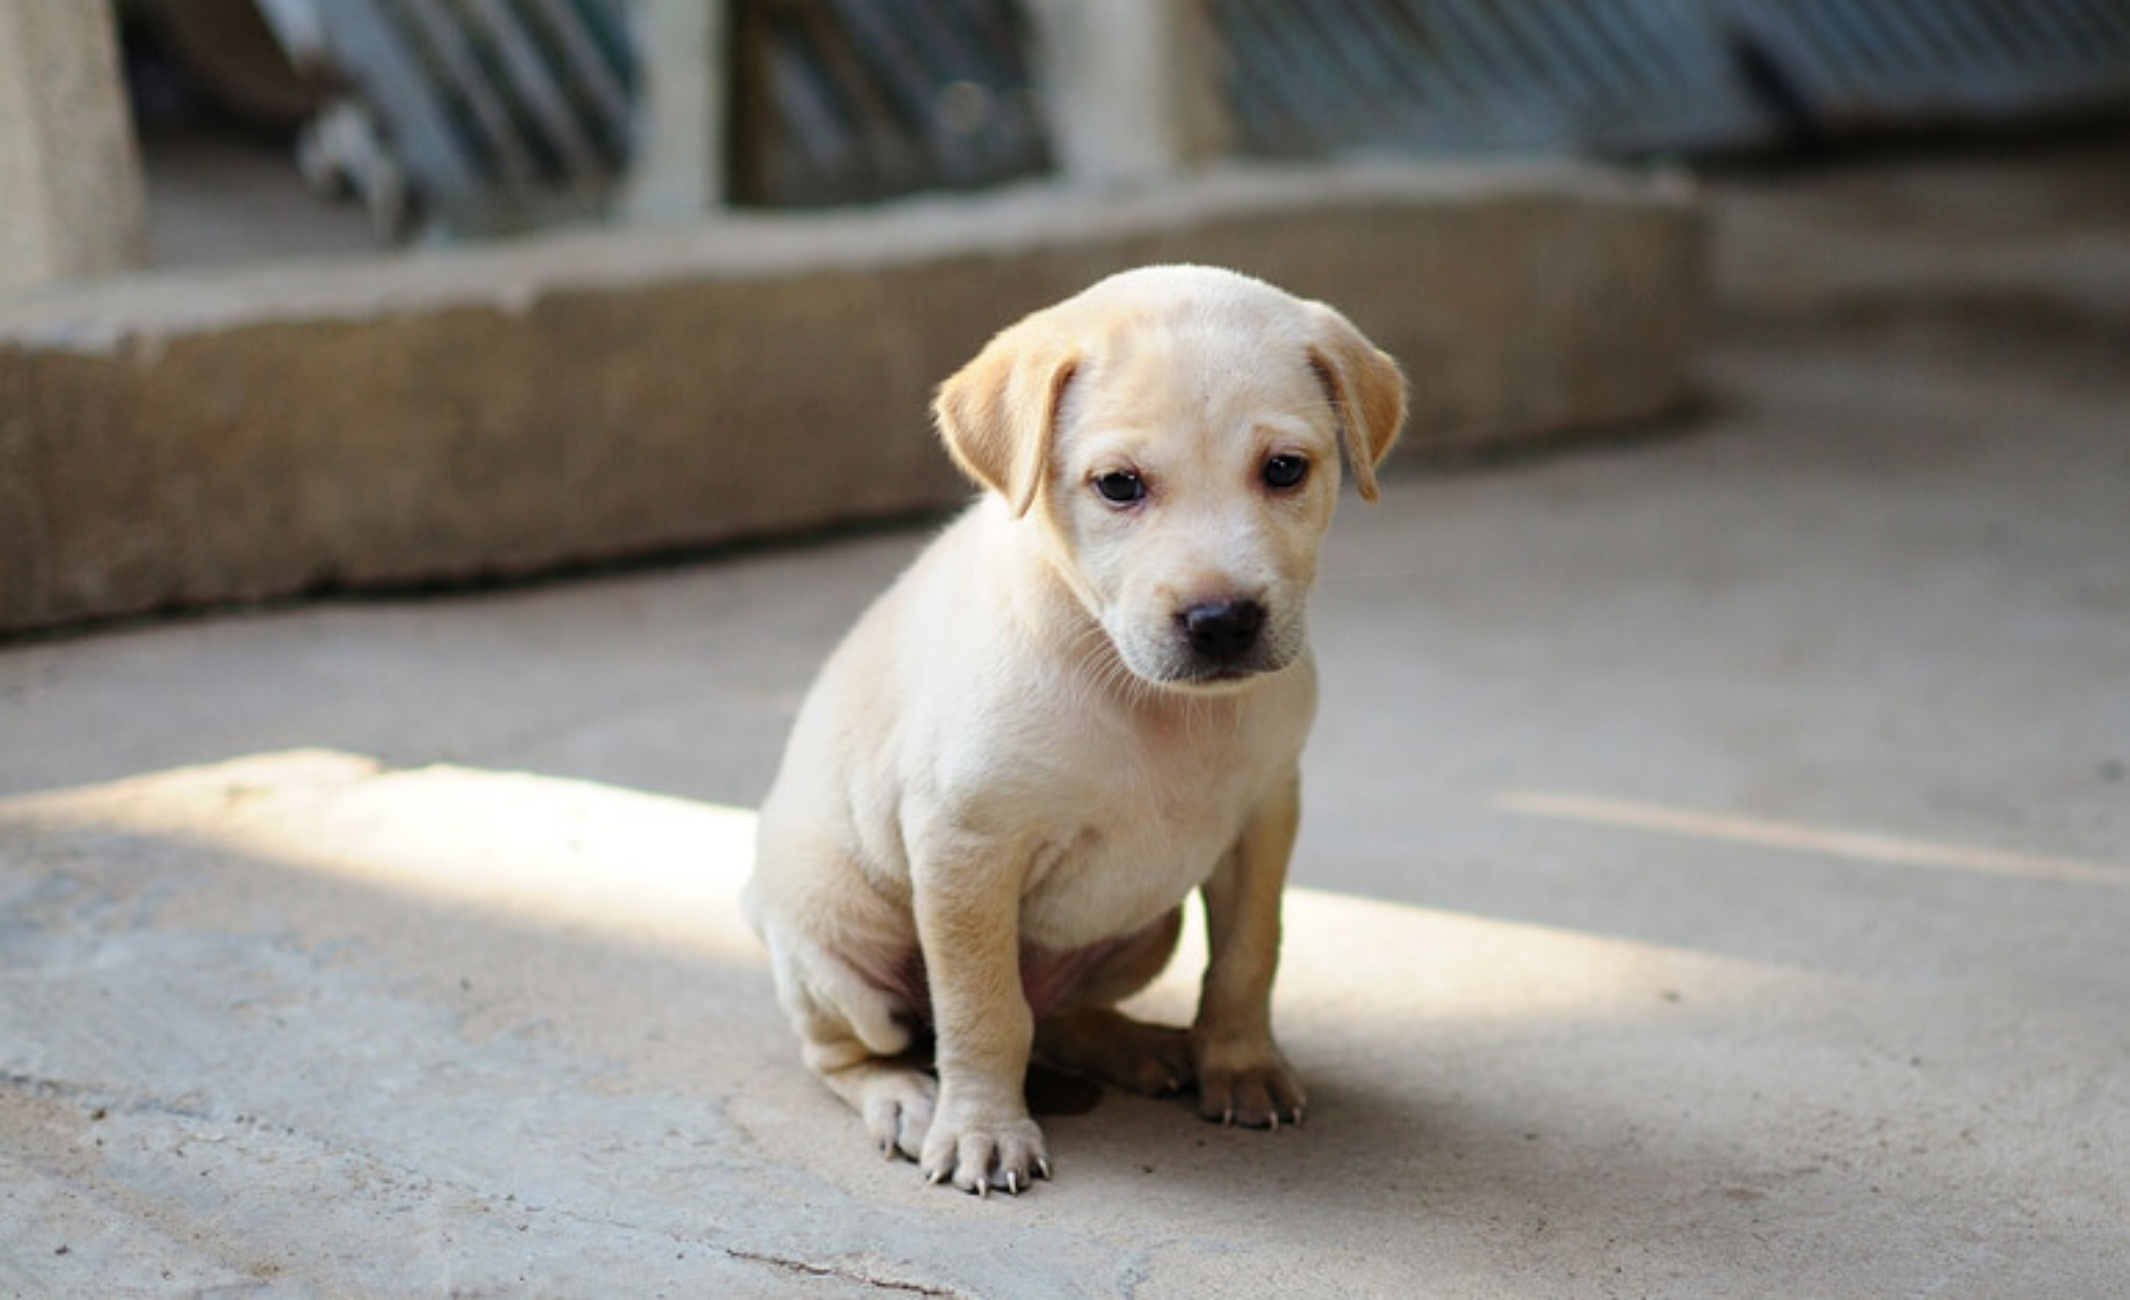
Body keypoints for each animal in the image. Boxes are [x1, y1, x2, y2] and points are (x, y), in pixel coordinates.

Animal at [741, 257, 1405, 1193]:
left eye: (1284, 469)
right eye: (1119, 485)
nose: (1222, 622)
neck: (1152, 703)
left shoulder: (1265, 813)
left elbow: (1249, 954)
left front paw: (1240, 1063)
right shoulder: (966, 843)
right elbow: (983, 1007)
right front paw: (982, 1129)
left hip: (1145, 927)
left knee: (1056, 1015)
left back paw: (1138, 1046)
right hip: (838, 938)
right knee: (857, 1048)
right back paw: (905, 1098)